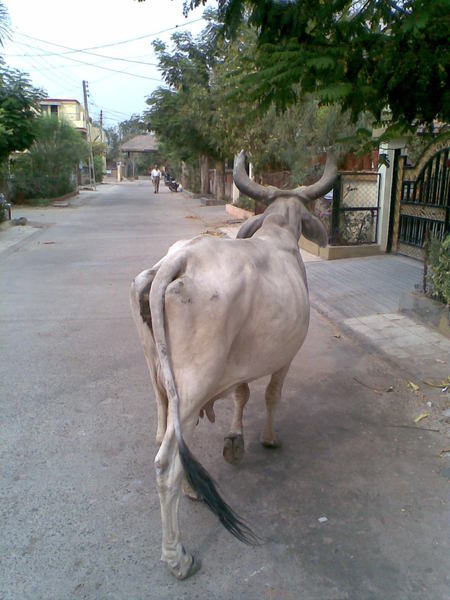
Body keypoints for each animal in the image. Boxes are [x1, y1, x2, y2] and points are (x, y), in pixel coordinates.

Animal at [128, 149, 336, 576]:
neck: (278, 232)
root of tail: (177, 261)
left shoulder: (239, 363)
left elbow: (241, 395)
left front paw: (234, 441)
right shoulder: (287, 356)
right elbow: (271, 396)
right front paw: (267, 439)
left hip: (162, 380)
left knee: (167, 435)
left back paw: (191, 490)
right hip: (194, 385)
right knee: (166, 464)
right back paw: (176, 556)